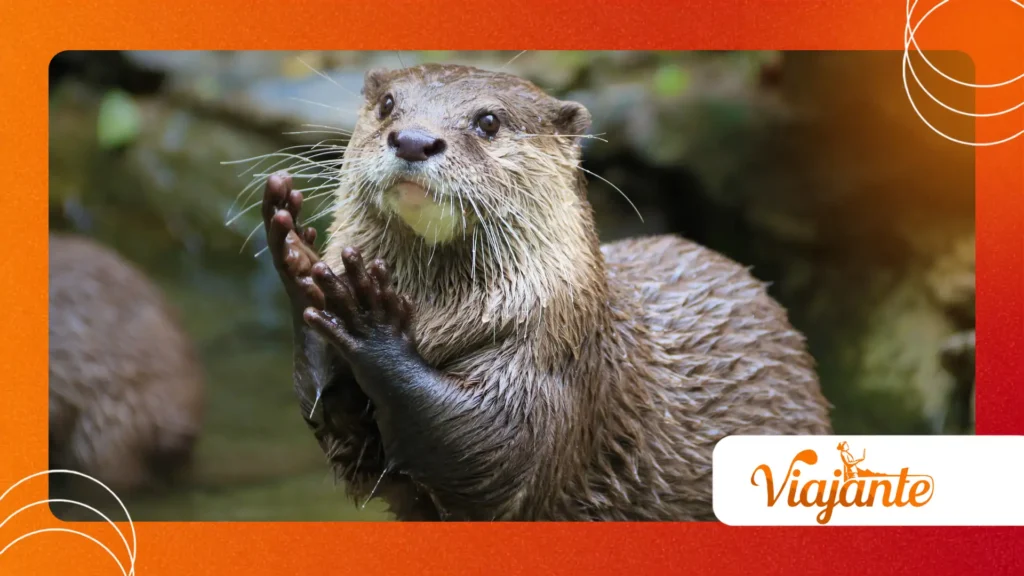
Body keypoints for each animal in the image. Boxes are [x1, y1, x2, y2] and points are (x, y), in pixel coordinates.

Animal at [260, 64, 832, 521]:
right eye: (387, 105)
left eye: (489, 121)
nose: (414, 139)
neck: (436, 318)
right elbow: (346, 441)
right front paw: (298, 259)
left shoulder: (557, 356)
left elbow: (492, 450)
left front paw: (373, 325)